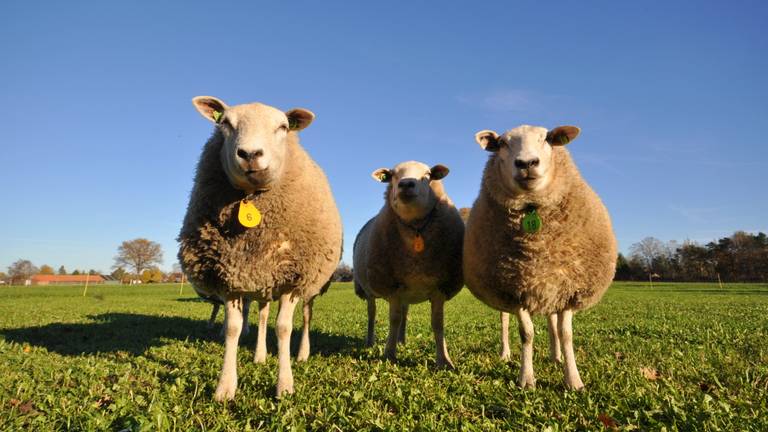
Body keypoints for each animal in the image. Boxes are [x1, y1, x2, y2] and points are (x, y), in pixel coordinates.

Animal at [178, 96, 340, 400]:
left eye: (283, 127)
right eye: (225, 123)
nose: (250, 154)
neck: (249, 199)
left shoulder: (292, 277)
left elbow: (284, 328)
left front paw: (285, 385)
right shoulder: (229, 276)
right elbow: (232, 329)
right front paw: (225, 387)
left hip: (310, 283)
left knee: (306, 316)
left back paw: (302, 354)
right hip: (262, 278)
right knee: (263, 315)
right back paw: (260, 355)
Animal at [462, 125, 616, 392]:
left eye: (547, 139)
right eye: (502, 144)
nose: (526, 163)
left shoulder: (569, 289)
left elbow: (566, 334)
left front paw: (573, 380)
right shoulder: (515, 290)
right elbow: (527, 334)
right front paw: (526, 378)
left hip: (550, 290)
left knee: (552, 322)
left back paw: (556, 357)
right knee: (505, 321)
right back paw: (505, 353)